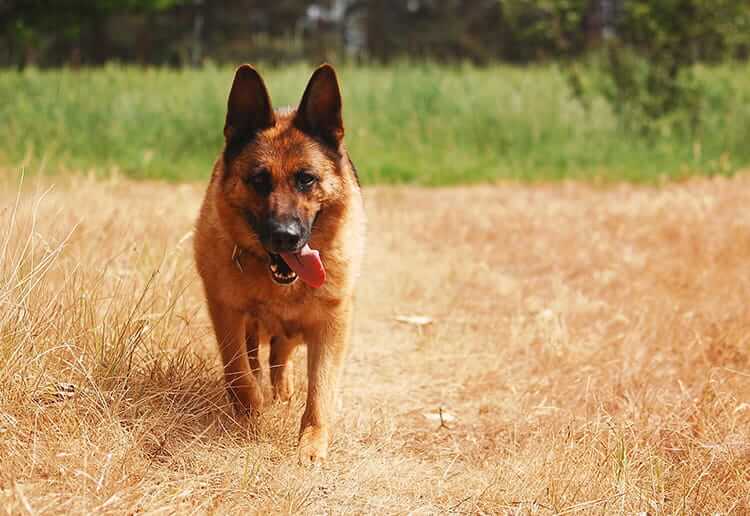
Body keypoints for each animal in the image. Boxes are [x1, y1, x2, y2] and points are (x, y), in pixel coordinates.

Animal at [194, 64, 368, 464]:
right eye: (259, 180)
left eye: (306, 179)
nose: (286, 236)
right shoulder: (226, 310)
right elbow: (238, 369)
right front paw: (251, 409)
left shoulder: (330, 324)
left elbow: (321, 390)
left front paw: (311, 444)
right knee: (258, 357)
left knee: (280, 354)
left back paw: (283, 390)